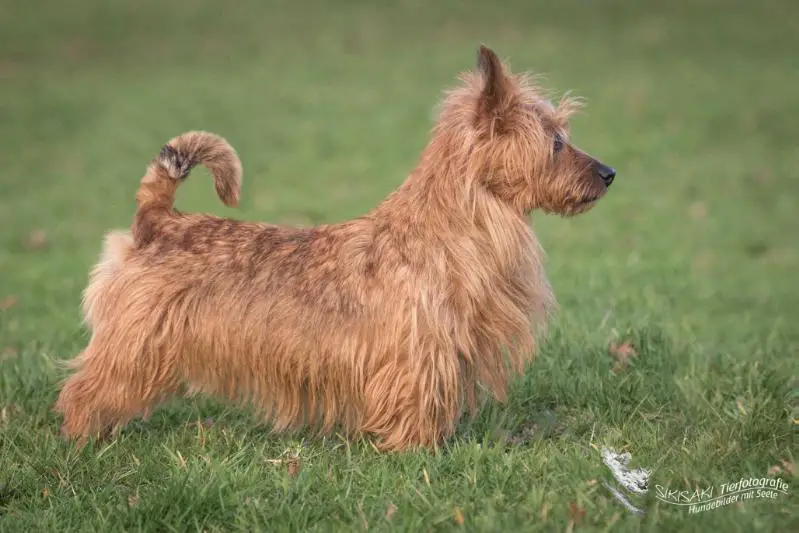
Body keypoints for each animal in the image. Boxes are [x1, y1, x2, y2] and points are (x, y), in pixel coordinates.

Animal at [56, 47, 616, 450]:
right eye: (556, 143)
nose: (610, 173)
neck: (449, 226)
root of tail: (157, 218)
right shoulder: (417, 350)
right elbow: (417, 398)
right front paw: (418, 453)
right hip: (134, 344)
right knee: (82, 390)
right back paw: (83, 442)